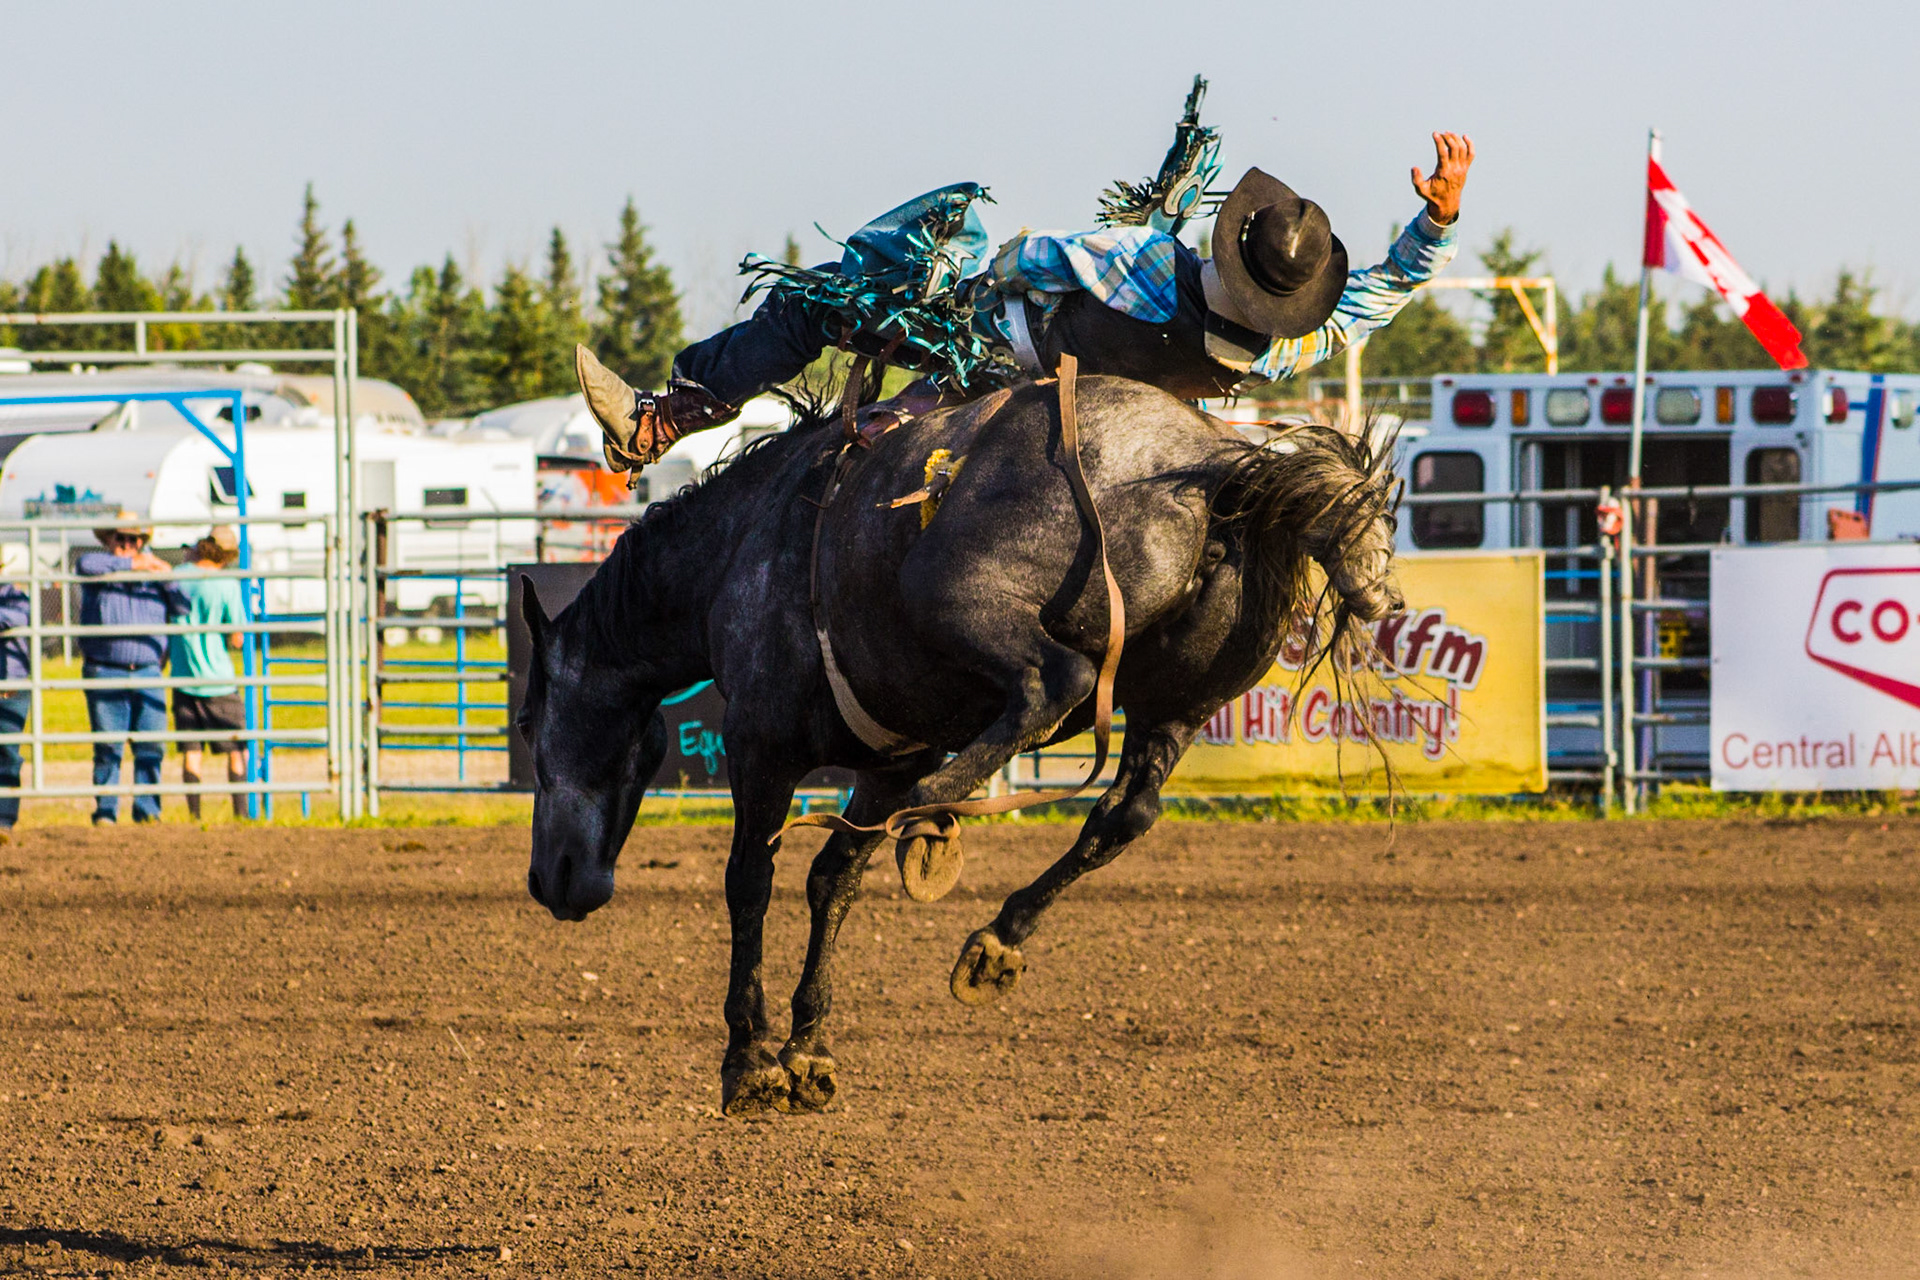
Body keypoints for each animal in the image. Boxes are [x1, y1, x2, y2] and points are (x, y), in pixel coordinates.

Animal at [516, 373, 1400, 1116]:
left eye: (526, 723)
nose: (549, 881)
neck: (738, 548)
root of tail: (1215, 463)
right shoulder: (892, 751)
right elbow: (833, 882)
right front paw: (807, 1051)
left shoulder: (759, 744)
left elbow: (750, 884)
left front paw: (749, 1061)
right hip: (1179, 701)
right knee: (1127, 808)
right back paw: (991, 938)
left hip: (960, 599)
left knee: (1055, 684)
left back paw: (932, 819)